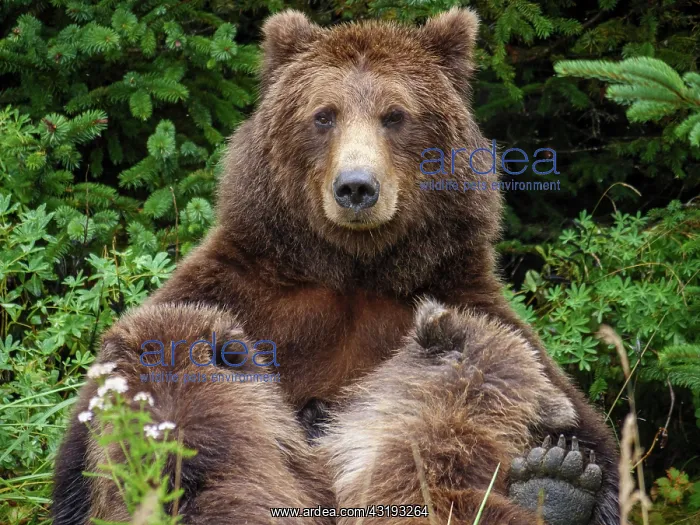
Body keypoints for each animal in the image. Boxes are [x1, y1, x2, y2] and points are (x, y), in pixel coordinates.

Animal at [53, 8, 620, 525]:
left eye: (395, 115)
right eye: (323, 114)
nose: (356, 187)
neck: (352, 272)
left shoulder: (467, 305)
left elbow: (589, 437)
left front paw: (564, 474)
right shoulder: (237, 292)